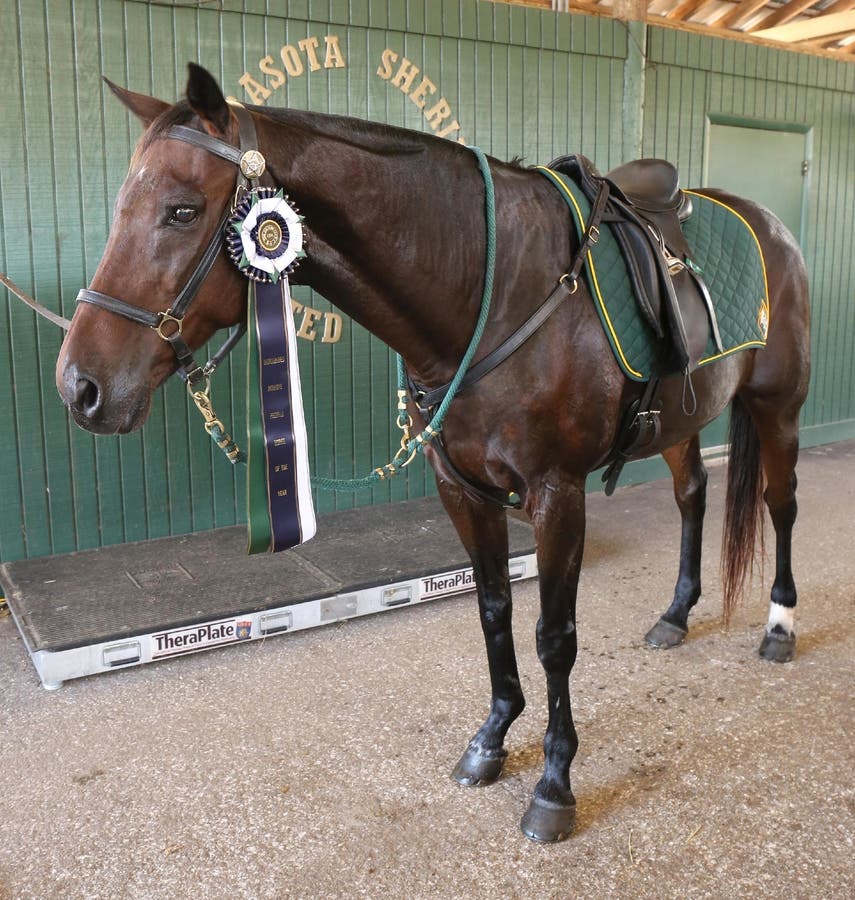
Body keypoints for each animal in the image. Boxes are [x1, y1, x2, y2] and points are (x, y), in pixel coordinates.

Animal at [55, 64, 811, 843]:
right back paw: (676, 614)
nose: (80, 386)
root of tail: (769, 224)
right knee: (693, 497)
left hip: (778, 405)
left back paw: (780, 625)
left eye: (181, 210)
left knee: (779, 504)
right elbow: (492, 610)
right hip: (684, 420)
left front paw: (554, 783)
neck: (494, 289)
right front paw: (491, 739)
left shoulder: (556, 494)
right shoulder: (461, 488)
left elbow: (554, 635)